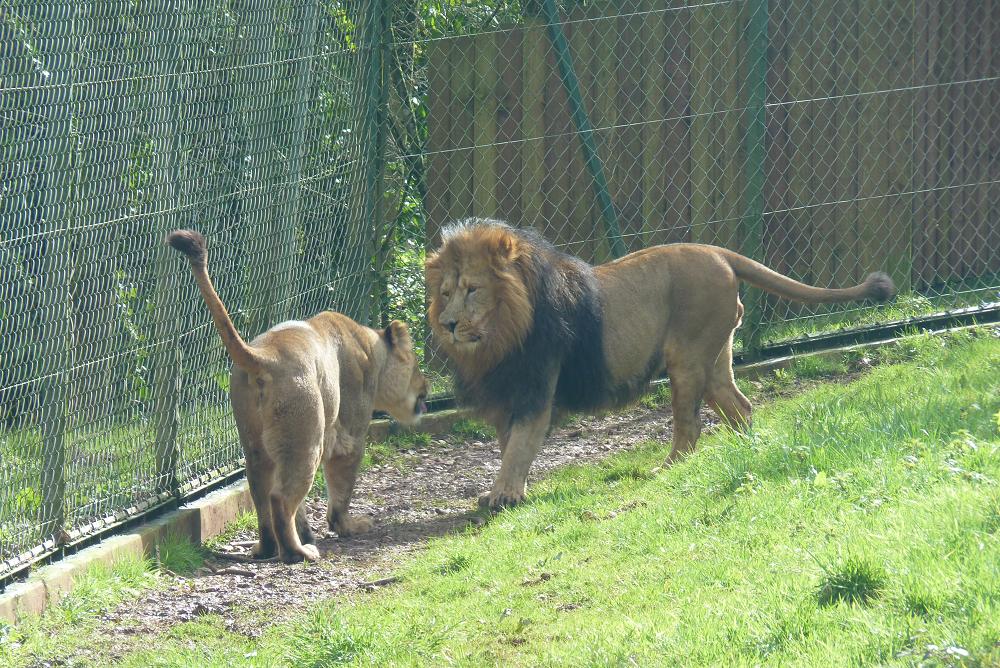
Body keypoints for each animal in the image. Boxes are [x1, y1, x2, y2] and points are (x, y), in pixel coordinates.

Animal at [167, 229, 428, 563]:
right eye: (417, 365)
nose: (427, 386)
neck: (370, 348)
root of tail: (263, 356)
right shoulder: (349, 435)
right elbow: (342, 488)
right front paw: (348, 525)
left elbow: (301, 508)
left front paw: (308, 531)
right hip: (305, 438)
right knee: (280, 498)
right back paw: (299, 553)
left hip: (256, 446)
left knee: (262, 495)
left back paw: (267, 548)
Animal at [426, 218, 895, 509]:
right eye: (445, 293)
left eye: (472, 289)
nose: (448, 324)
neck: (498, 340)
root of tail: (719, 252)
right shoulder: (508, 393)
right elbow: (510, 446)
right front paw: (510, 492)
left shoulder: (537, 386)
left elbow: (520, 446)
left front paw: (503, 496)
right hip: (716, 358)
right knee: (740, 407)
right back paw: (745, 451)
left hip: (686, 357)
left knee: (690, 426)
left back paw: (667, 470)